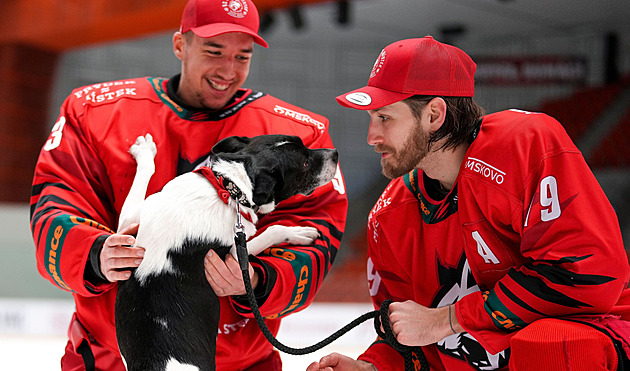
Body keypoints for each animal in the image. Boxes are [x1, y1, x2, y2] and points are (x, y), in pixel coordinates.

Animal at [113, 134, 340, 371]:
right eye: (304, 163)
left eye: (303, 143)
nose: (335, 154)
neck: (229, 188)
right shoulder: (235, 251)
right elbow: (273, 230)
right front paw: (298, 232)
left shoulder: (130, 225)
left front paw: (144, 153)